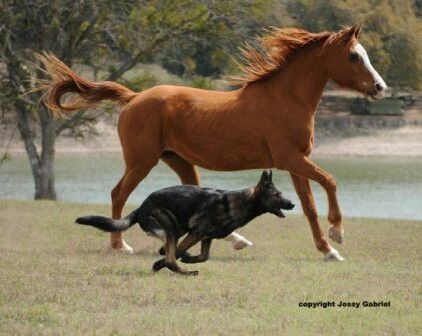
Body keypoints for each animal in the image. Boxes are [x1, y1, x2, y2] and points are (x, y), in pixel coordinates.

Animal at [38, 24, 388, 262]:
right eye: (354, 56)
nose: (380, 87)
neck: (285, 99)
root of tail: (135, 97)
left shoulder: (295, 163)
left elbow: (310, 207)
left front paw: (328, 250)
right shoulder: (290, 159)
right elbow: (330, 181)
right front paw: (337, 233)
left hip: (178, 159)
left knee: (193, 196)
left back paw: (237, 239)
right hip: (141, 160)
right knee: (118, 192)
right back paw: (120, 245)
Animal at [75, 171, 294, 276]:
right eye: (277, 195)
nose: (292, 204)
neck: (241, 202)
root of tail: (141, 207)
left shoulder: (206, 237)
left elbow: (204, 256)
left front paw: (189, 258)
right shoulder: (196, 233)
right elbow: (174, 255)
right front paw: (164, 263)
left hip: (177, 229)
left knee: (169, 251)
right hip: (172, 229)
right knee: (171, 257)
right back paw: (185, 271)